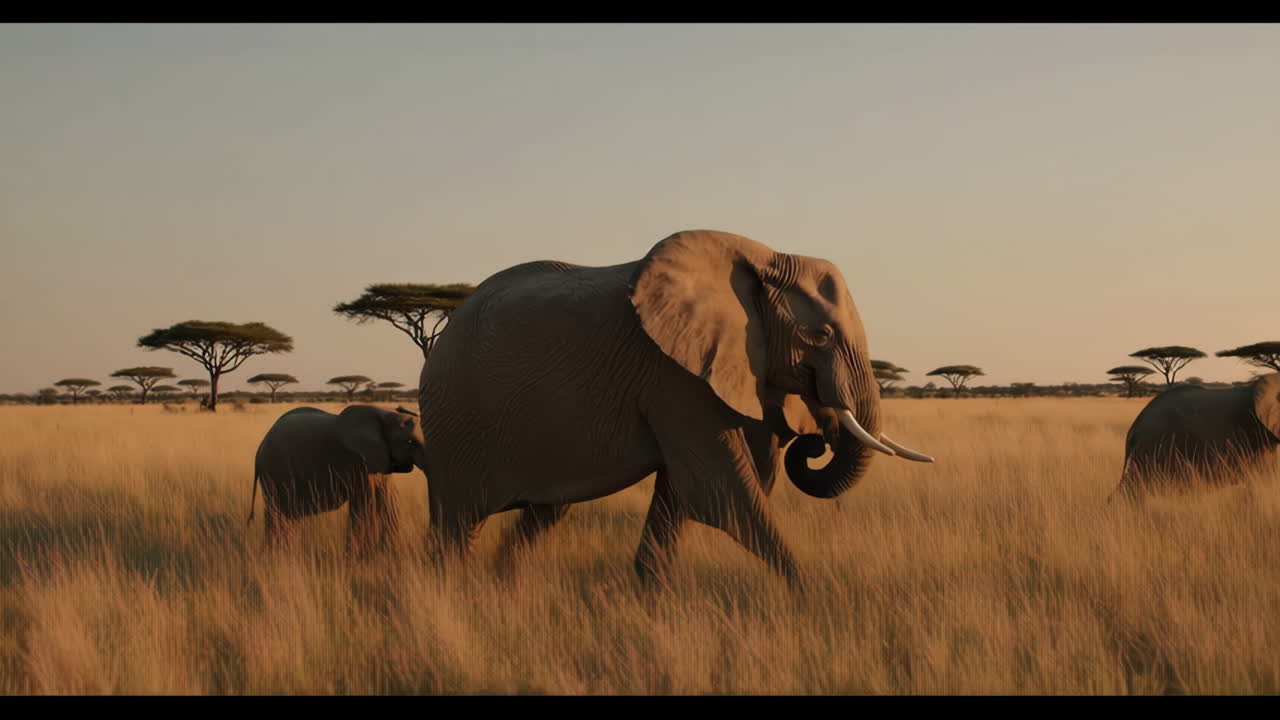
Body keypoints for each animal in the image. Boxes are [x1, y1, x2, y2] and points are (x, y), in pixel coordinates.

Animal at [248, 404, 424, 552]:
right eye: (410, 443)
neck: (385, 413)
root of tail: (259, 449)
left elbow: (389, 499)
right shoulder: (357, 462)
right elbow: (365, 504)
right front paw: (359, 559)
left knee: (287, 515)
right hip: (275, 472)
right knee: (278, 514)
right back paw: (279, 554)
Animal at [415, 229, 934, 586]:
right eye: (820, 336)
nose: (818, 439)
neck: (760, 258)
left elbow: (683, 492)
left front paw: (648, 595)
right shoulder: (673, 375)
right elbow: (720, 490)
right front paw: (810, 594)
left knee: (544, 512)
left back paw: (503, 582)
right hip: (456, 421)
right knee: (458, 522)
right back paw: (452, 590)